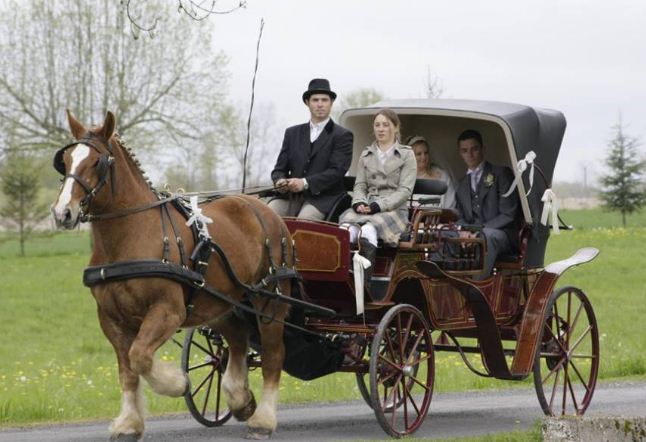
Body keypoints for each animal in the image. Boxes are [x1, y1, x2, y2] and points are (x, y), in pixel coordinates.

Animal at [51, 109, 294, 438]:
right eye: (64, 161)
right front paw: (129, 423)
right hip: (219, 302)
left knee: (273, 355)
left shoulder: (168, 311)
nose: (62, 213)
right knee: (238, 339)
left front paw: (177, 383)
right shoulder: (111, 319)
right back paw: (240, 400)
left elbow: (140, 356)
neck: (131, 236)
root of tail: (265, 210)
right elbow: (127, 371)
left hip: (270, 301)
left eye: (96, 162)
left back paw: (263, 420)